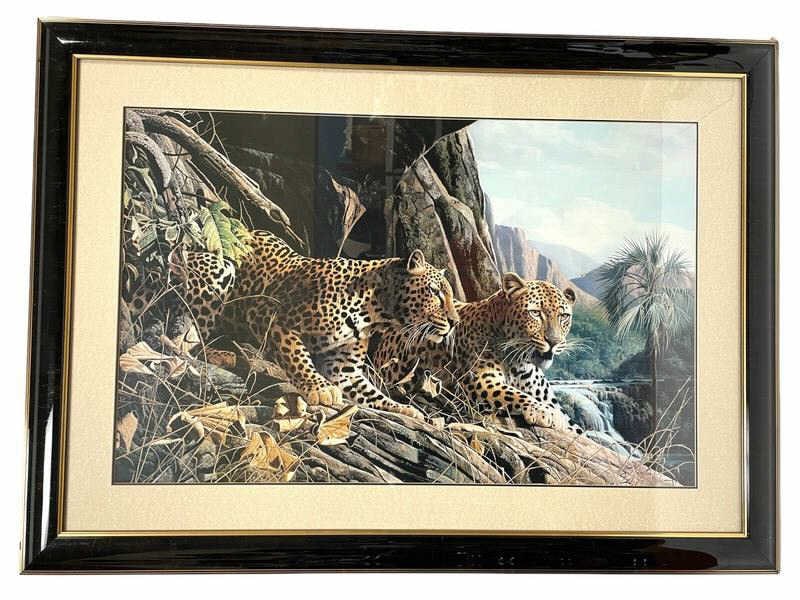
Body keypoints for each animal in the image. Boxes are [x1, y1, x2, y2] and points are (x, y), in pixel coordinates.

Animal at [169, 229, 459, 418]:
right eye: (436, 292)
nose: (455, 322)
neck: (374, 314)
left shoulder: (343, 368)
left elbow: (371, 393)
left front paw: (404, 409)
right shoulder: (270, 317)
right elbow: (297, 356)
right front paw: (319, 389)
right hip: (220, 271)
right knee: (187, 339)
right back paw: (219, 354)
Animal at [373, 272, 583, 433]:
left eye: (564, 316)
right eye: (535, 313)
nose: (554, 342)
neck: (521, 362)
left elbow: (576, 429)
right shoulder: (478, 380)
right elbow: (514, 394)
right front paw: (545, 413)